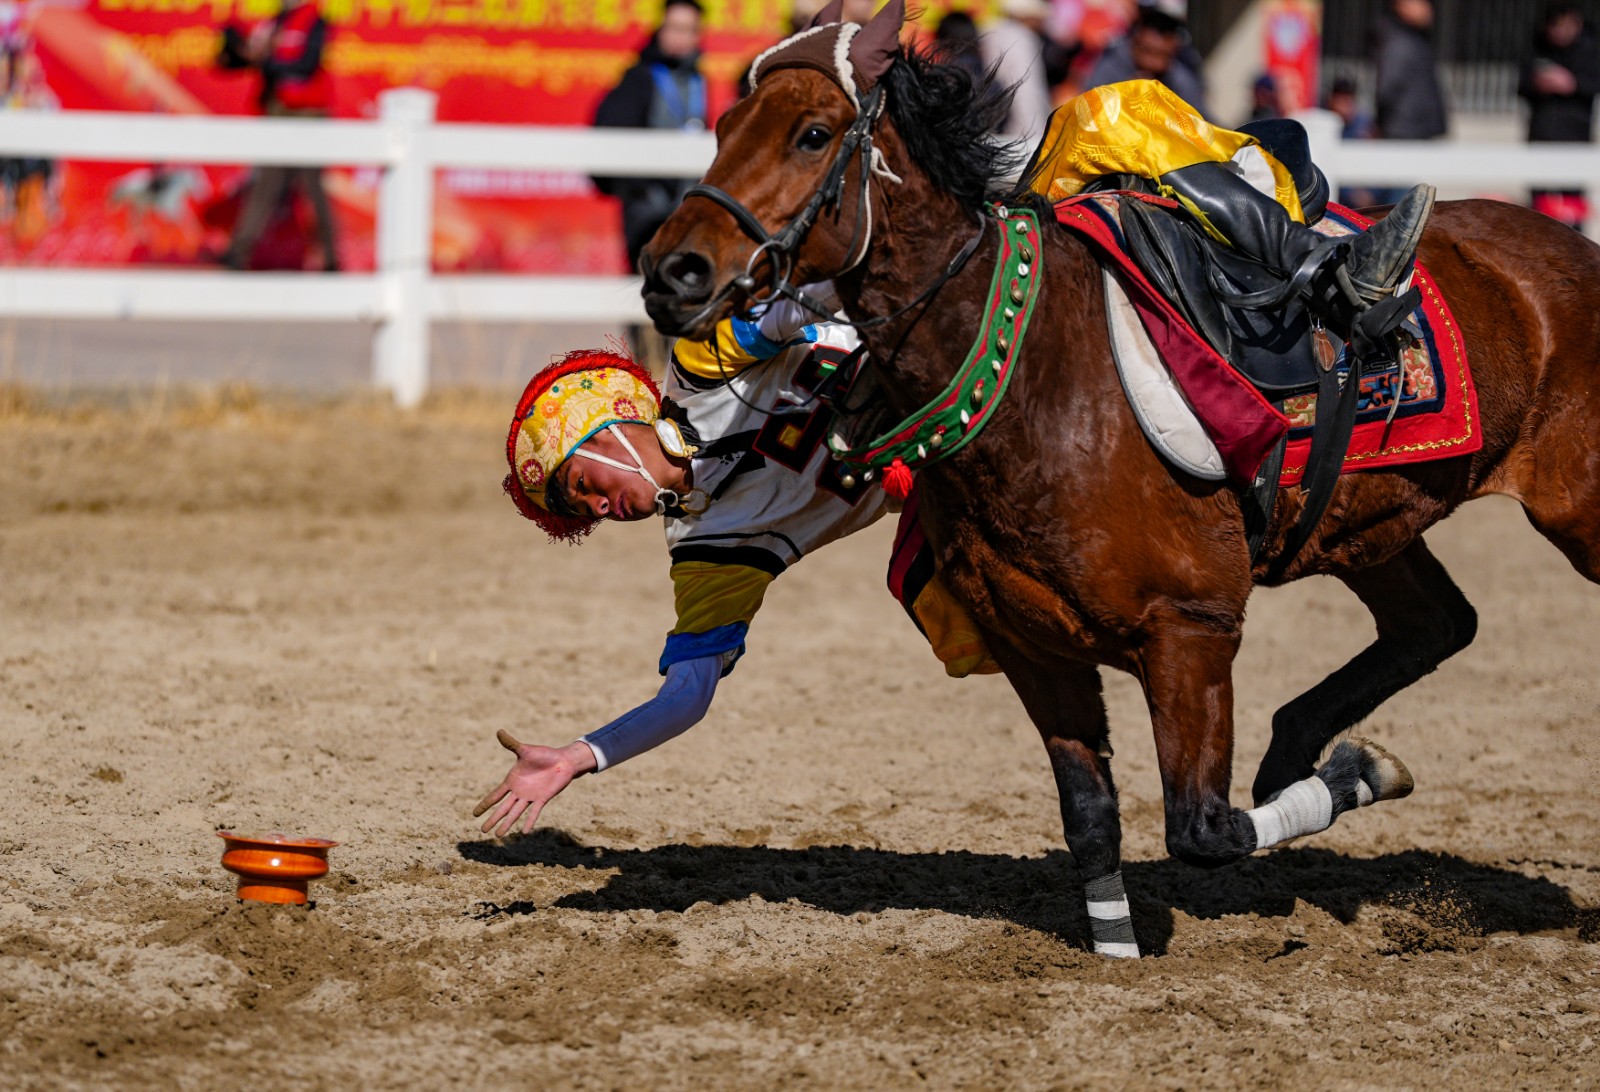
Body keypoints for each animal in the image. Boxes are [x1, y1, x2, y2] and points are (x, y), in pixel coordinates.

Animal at [638, 1, 1600, 957]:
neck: (1034, 370)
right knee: (1436, 624)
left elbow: (1203, 827)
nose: (671, 269)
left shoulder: (1191, 633)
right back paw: (1296, 740)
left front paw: (1361, 770)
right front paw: (1119, 948)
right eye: (723, 126)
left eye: (811, 134)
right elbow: (1093, 818)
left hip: (1574, 516)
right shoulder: (1035, 647)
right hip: (1371, 531)